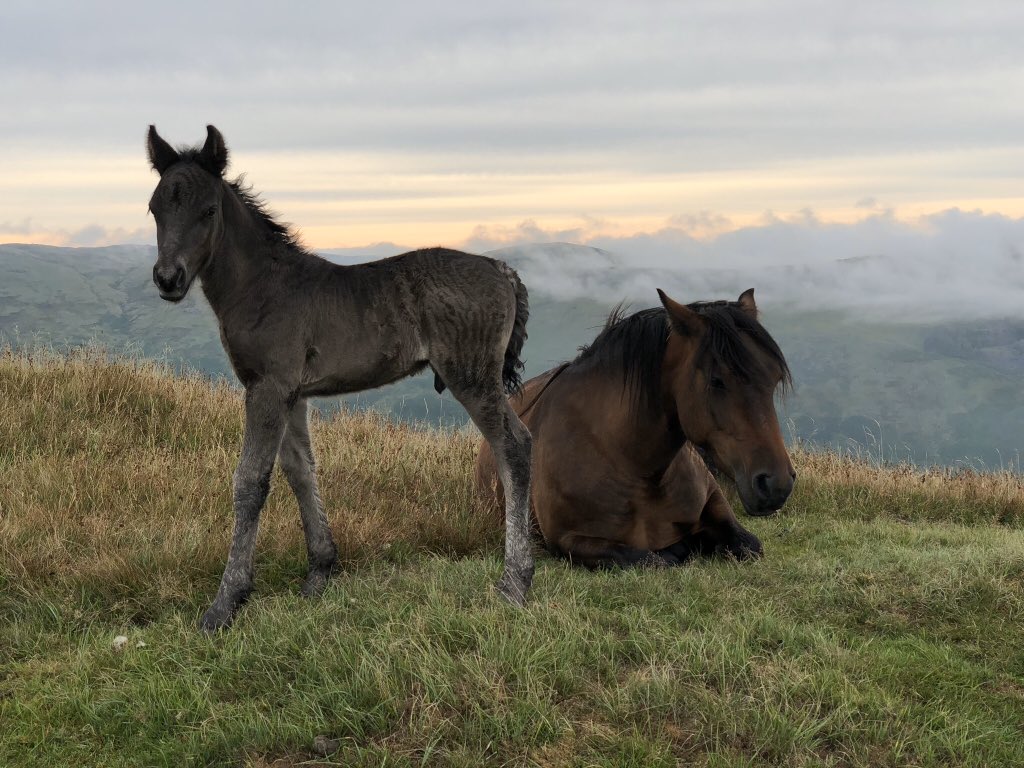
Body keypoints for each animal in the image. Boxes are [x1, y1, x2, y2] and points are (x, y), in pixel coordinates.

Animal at [146, 125, 534, 630]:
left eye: (208, 210)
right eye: (155, 208)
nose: (167, 279)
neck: (262, 288)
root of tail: (500, 269)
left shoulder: (267, 388)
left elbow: (250, 481)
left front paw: (226, 602)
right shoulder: (292, 393)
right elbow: (300, 470)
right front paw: (320, 572)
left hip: (472, 378)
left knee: (514, 446)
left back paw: (516, 581)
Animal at [475, 289, 795, 568]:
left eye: (775, 378)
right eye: (717, 380)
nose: (776, 483)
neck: (634, 464)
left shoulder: (716, 504)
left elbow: (750, 545)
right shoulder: (568, 541)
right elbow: (651, 560)